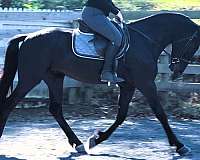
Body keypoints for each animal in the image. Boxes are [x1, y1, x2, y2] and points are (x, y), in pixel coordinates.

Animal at [0, 12, 200, 155]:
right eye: (194, 43)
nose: (177, 69)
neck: (144, 41)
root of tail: (28, 37)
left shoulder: (128, 85)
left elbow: (121, 115)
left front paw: (97, 139)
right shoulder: (146, 83)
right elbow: (160, 113)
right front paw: (180, 146)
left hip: (54, 77)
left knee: (55, 109)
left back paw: (79, 144)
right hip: (30, 78)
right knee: (8, 104)